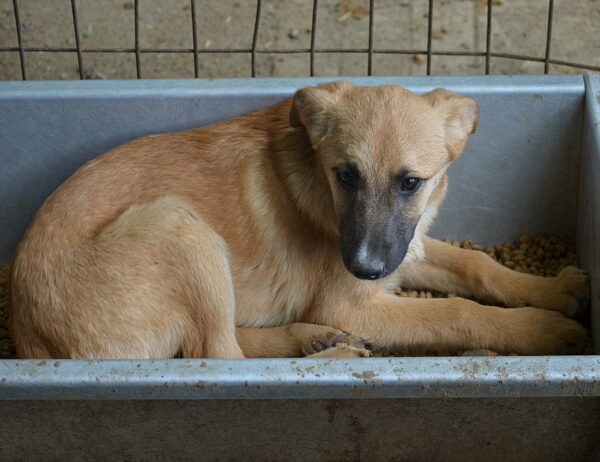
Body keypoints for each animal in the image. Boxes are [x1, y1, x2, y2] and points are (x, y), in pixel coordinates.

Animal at [9, 81, 588, 360]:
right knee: (217, 353)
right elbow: (455, 311)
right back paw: (332, 356)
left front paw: (553, 292)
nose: (363, 267)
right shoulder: (353, 301)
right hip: (177, 226)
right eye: (345, 175)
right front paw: (540, 329)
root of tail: (28, 330)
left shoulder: (403, 250)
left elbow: (476, 267)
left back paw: (313, 341)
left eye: (410, 183)